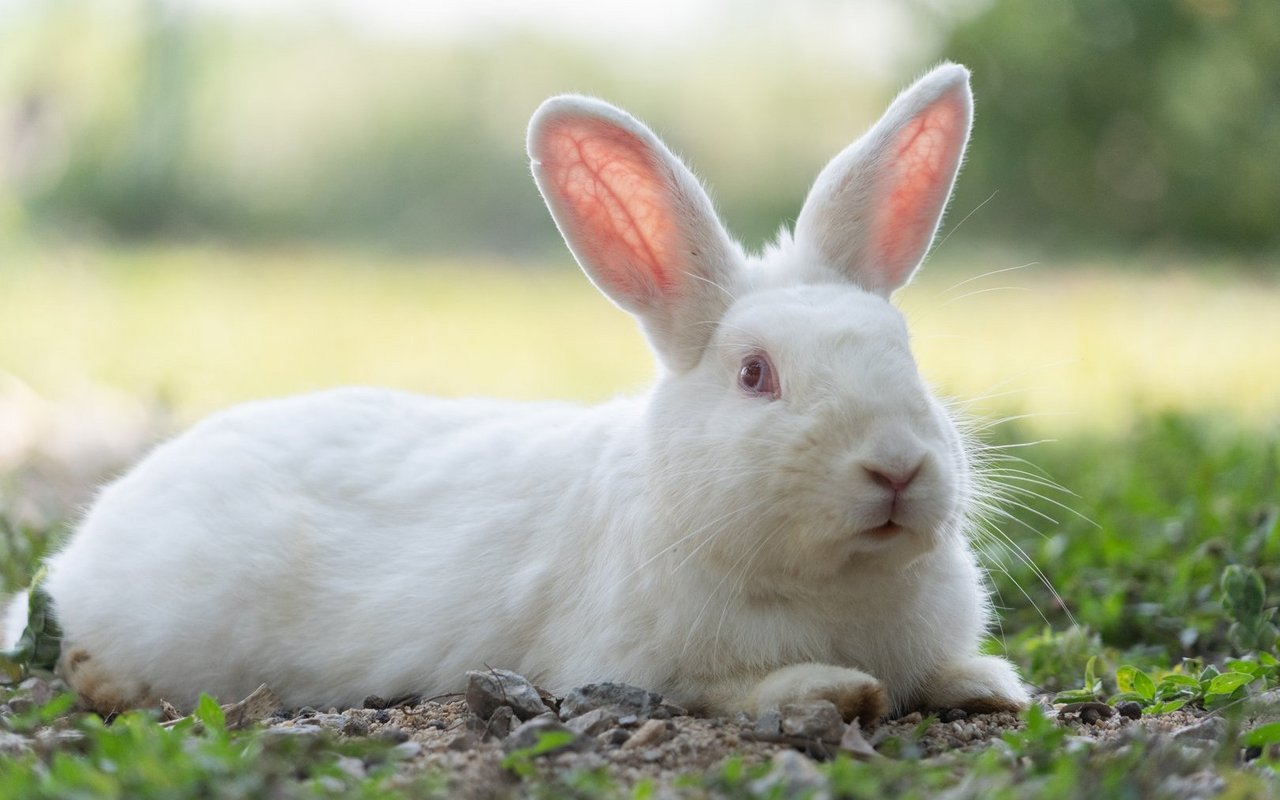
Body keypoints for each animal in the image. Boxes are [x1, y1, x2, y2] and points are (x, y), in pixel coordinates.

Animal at [5, 62, 1030, 722]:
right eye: (755, 375)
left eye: (907, 353)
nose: (895, 468)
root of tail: (91, 540)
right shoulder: (630, 662)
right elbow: (731, 691)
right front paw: (833, 691)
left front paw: (987, 683)